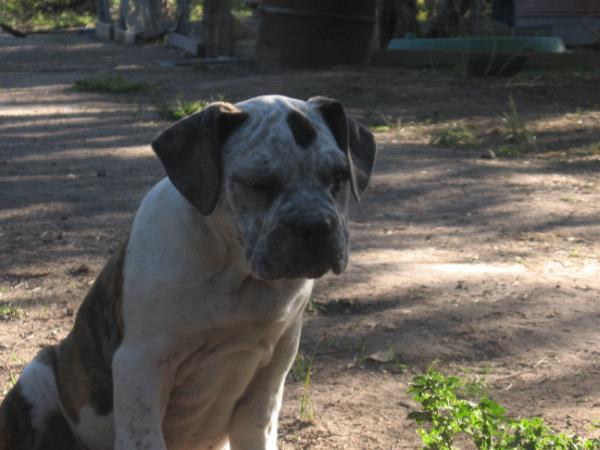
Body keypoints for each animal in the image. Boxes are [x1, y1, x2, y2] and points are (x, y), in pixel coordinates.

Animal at [0, 95, 376, 450]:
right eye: (257, 183)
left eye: (339, 176)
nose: (314, 224)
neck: (235, 275)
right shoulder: (141, 366)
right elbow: (144, 437)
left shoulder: (271, 371)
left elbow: (258, 430)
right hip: (38, 377)